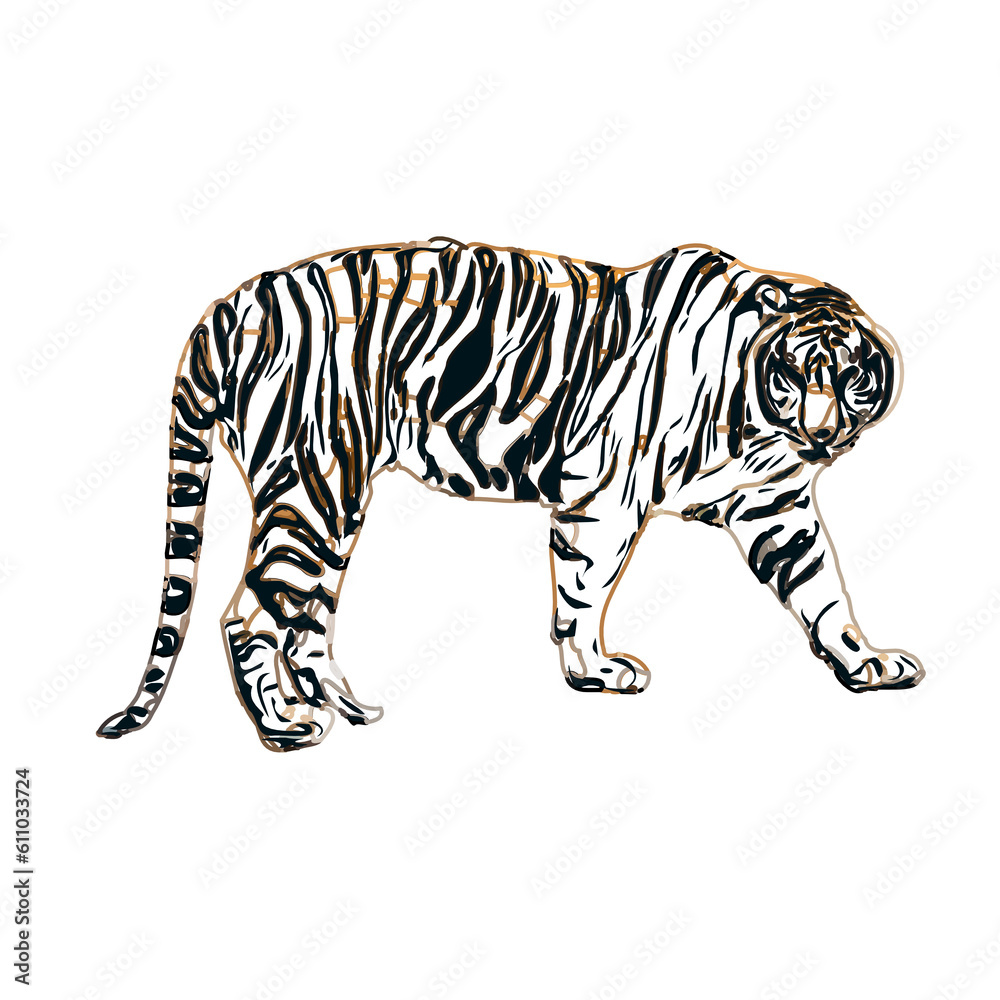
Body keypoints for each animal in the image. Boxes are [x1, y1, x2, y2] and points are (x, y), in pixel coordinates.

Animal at [96, 237, 924, 752]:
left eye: (852, 378)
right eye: (795, 375)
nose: (821, 433)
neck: (754, 420)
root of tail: (229, 304)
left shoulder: (774, 505)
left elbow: (822, 590)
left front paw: (865, 664)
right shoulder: (606, 495)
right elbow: (584, 592)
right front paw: (595, 672)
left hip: (330, 496)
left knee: (305, 618)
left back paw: (349, 710)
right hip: (314, 485)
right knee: (247, 614)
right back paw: (286, 729)